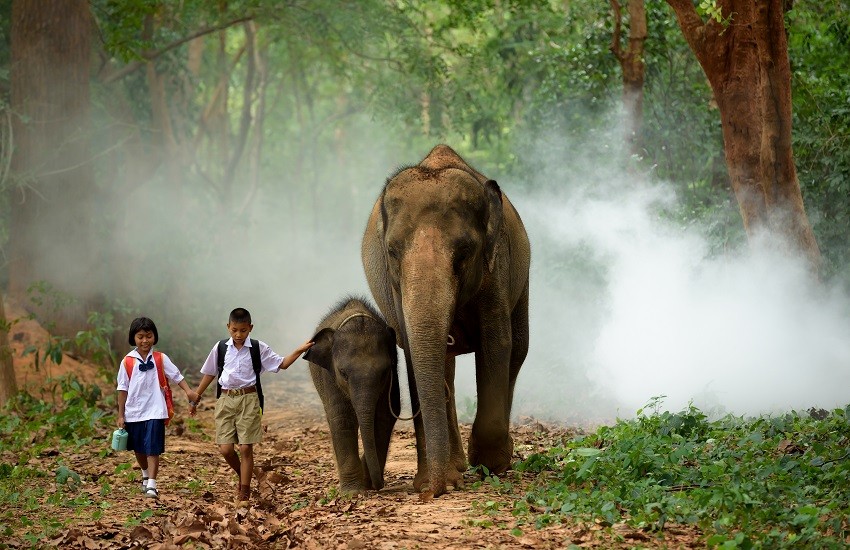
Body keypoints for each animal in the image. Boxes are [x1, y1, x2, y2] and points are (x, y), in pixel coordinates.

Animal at [304, 298, 400, 496]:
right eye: (343, 373)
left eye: (384, 372)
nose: (378, 485)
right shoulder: (329, 375)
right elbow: (342, 418)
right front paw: (352, 493)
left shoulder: (393, 373)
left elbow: (385, 416)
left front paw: (365, 483)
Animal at [360, 144, 528, 498]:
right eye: (392, 251)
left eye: (464, 252)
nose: (431, 493)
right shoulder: (394, 287)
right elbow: (413, 353)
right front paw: (436, 480)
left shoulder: (496, 266)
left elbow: (496, 344)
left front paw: (490, 465)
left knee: (519, 349)